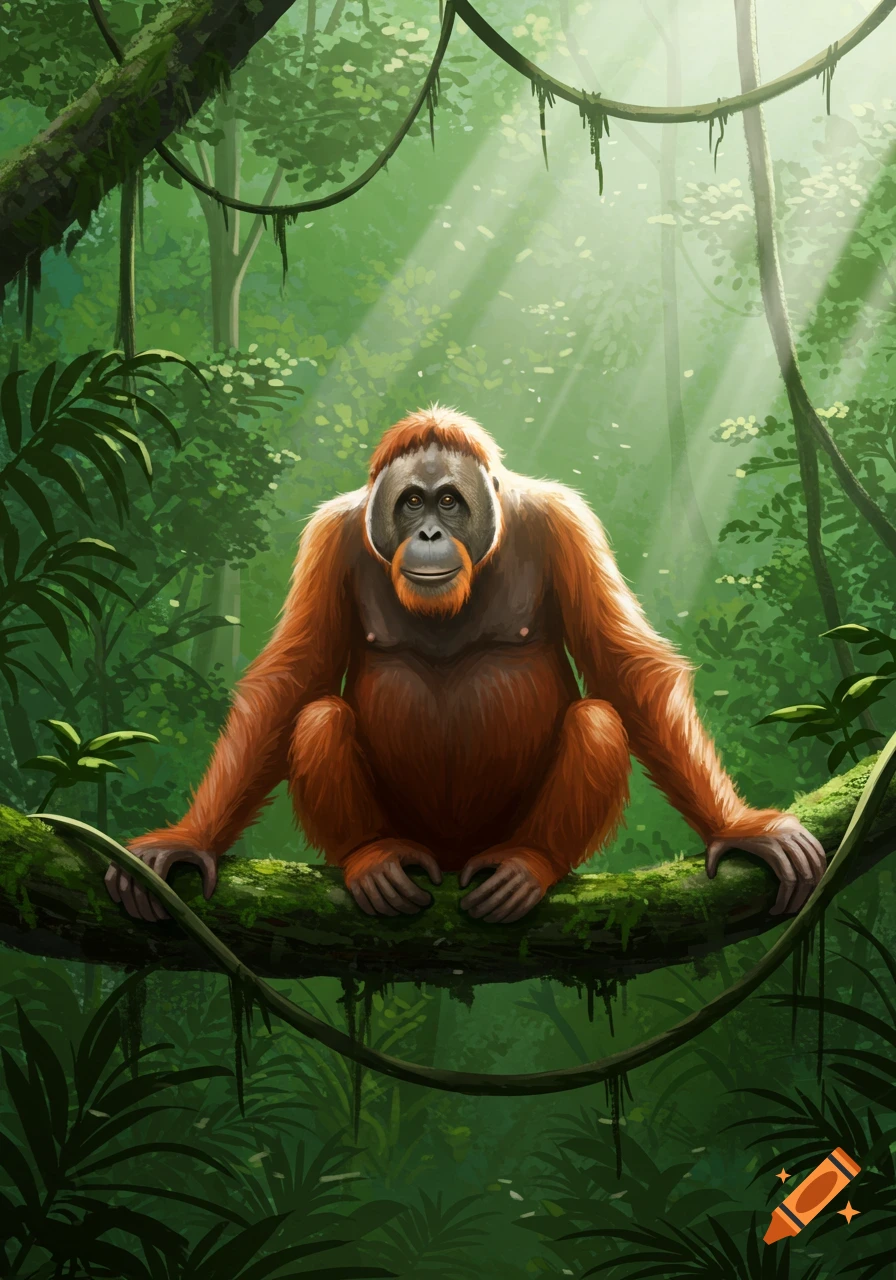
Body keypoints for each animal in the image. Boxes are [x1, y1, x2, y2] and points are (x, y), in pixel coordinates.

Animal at [107, 406, 826, 926]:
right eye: (410, 503)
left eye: (449, 502)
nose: (428, 533)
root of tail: (453, 861)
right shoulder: (329, 535)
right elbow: (290, 682)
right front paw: (189, 841)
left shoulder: (569, 524)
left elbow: (627, 669)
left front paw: (741, 830)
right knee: (318, 717)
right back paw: (372, 861)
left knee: (597, 720)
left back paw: (526, 867)